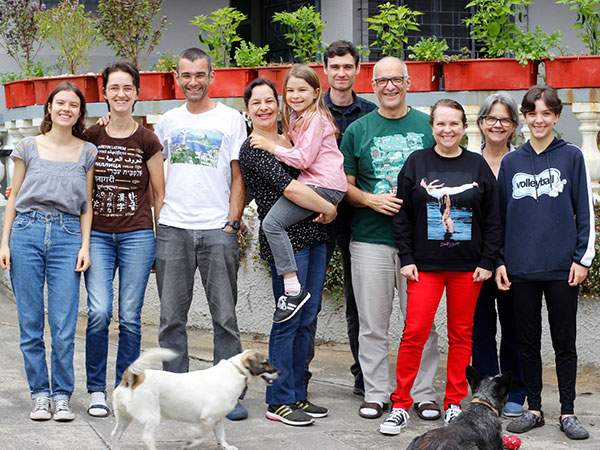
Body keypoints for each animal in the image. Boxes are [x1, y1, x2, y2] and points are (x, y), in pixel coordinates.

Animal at [111, 350, 280, 450]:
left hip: (124, 418)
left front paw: (225, 446)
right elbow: (203, 437)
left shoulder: (217, 419)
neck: (235, 371)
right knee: (147, 437)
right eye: (265, 362)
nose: (280, 372)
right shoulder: (207, 419)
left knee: (115, 434)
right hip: (152, 417)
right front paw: (191, 443)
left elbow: (221, 435)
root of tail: (134, 377)